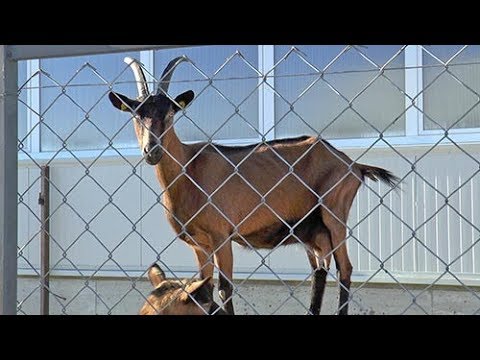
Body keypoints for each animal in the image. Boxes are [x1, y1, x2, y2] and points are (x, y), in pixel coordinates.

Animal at [109, 57, 398, 316]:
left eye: (170, 113)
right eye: (136, 114)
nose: (152, 150)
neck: (189, 170)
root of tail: (353, 164)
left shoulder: (221, 235)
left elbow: (223, 288)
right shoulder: (198, 244)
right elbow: (203, 288)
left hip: (334, 212)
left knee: (345, 268)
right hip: (311, 230)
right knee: (320, 269)